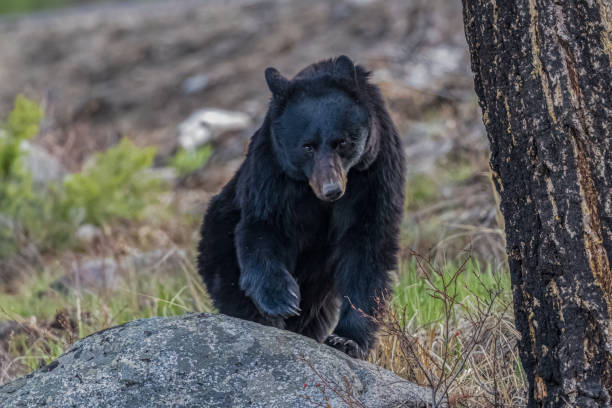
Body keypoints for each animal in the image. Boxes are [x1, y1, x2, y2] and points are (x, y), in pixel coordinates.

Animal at [197, 55, 406, 356]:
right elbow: (265, 225)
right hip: (218, 239)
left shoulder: (375, 172)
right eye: (307, 146)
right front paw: (281, 298)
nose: (331, 190)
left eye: (342, 142)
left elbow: (367, 248)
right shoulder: (273, 169)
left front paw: (347, 339)